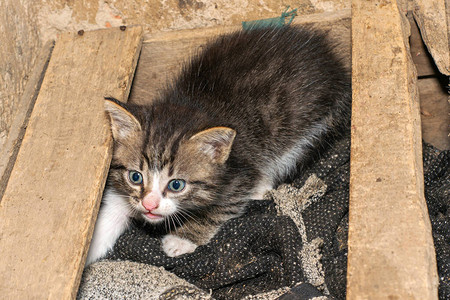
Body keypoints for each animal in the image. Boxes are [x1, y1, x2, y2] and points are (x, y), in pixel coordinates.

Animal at [84, 25, 352, 264]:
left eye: (177, 184)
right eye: (135, 177)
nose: (149, 204)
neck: (194, 104)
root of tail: (333, 63)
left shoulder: (239, 173)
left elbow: (220, 207)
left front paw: (182, 239)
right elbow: (117, 202)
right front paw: (90, 245)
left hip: (307, 125)